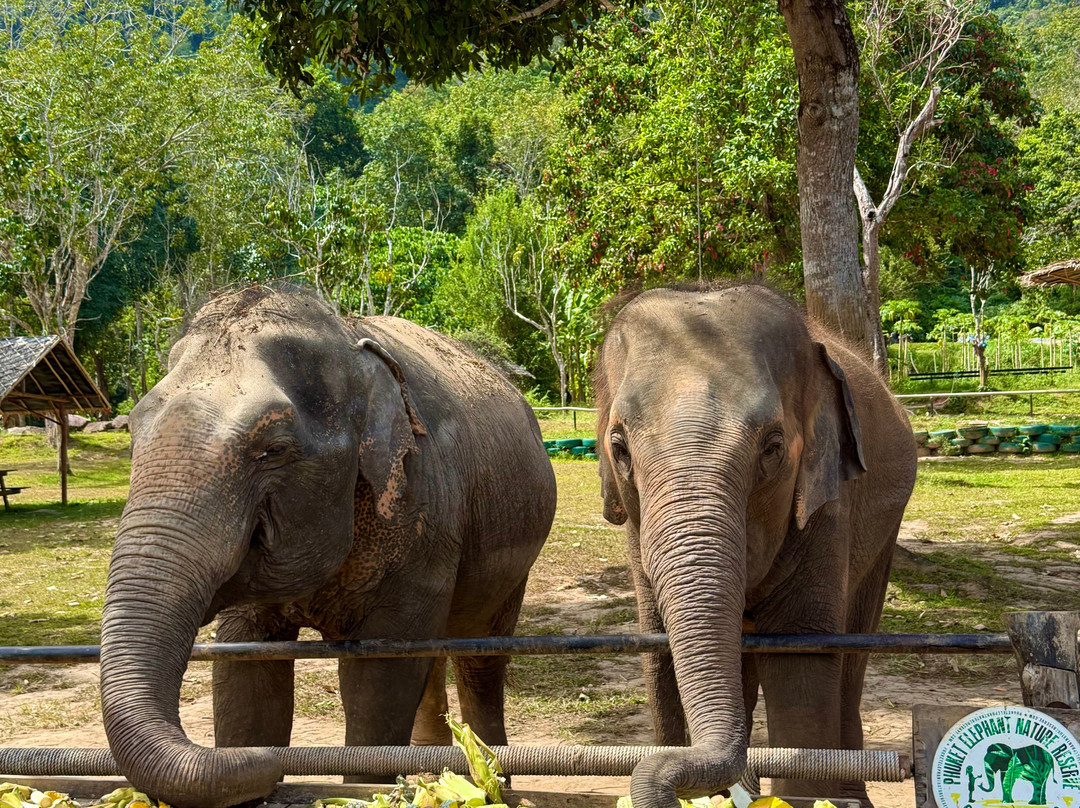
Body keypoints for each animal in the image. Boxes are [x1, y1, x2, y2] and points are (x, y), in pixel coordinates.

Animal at [98, 287, 557, 808]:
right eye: (133, 432)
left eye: (273, 448)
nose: (274, 769)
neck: (345, 341)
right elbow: (246, 670)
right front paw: (255, 758)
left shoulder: (424, 516)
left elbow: (377, 680)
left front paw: (370, 788)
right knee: (435, 654)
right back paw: (437, 767)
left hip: (513, 558)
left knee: (480, 657)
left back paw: (493, 778)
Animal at [593, 284, 917, 808]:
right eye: (619, 447)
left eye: (773, 447)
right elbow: (659, 650)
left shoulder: (829, 506)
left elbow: (800, 655)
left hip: (885, 529)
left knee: (852, 651)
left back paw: (850, 797)